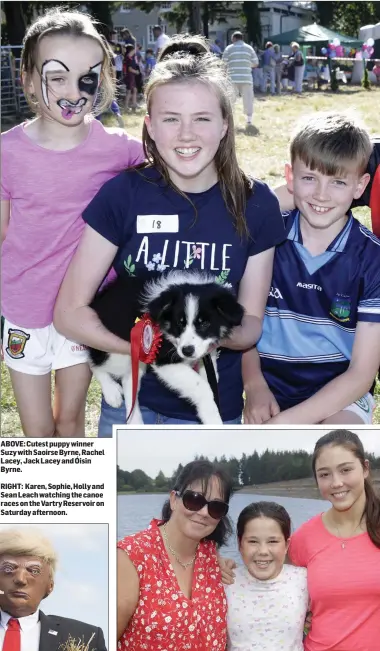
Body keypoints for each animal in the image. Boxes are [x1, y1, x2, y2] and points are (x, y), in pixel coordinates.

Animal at [88, 272, 245, 428]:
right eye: (179, 323)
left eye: (204, 323)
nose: (187, 351)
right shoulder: (164, 359)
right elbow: (201, 386)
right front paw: (213, 420)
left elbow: (208, 366)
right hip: (118, 351)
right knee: (94, 361)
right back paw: (111, 391)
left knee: (128, 382)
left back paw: (135, 423)